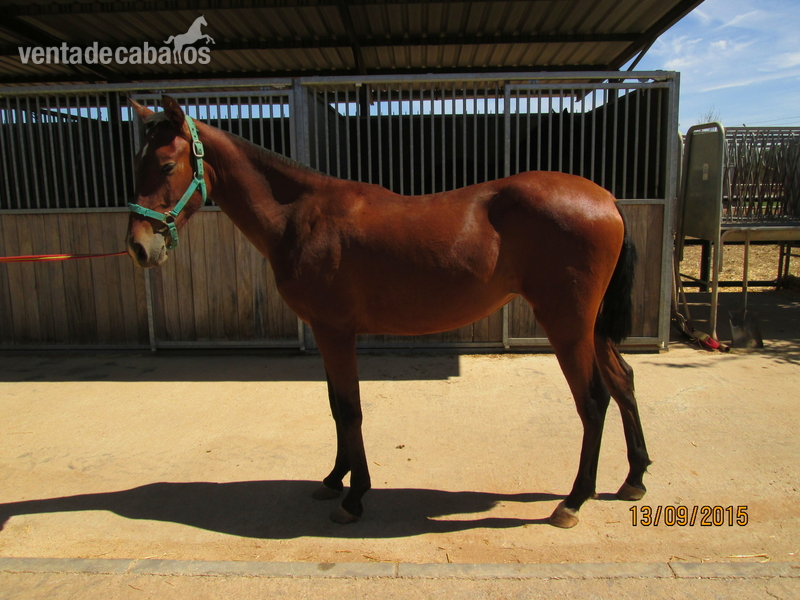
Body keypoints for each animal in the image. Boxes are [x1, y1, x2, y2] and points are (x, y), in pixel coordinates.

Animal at [125, 95, 651, 528]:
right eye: (136, 164)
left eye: (167, 164)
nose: (139, 247)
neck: (302, 215)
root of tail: (606, 199)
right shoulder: (326, 333)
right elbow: (336, 407)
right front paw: (334, 479)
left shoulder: (336, 332)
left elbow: (350, 409)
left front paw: (355, 496)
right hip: (591, 327)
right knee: (623, 381)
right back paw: (634, 478)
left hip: (567, 326)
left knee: (593, 401)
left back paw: (573, 501)